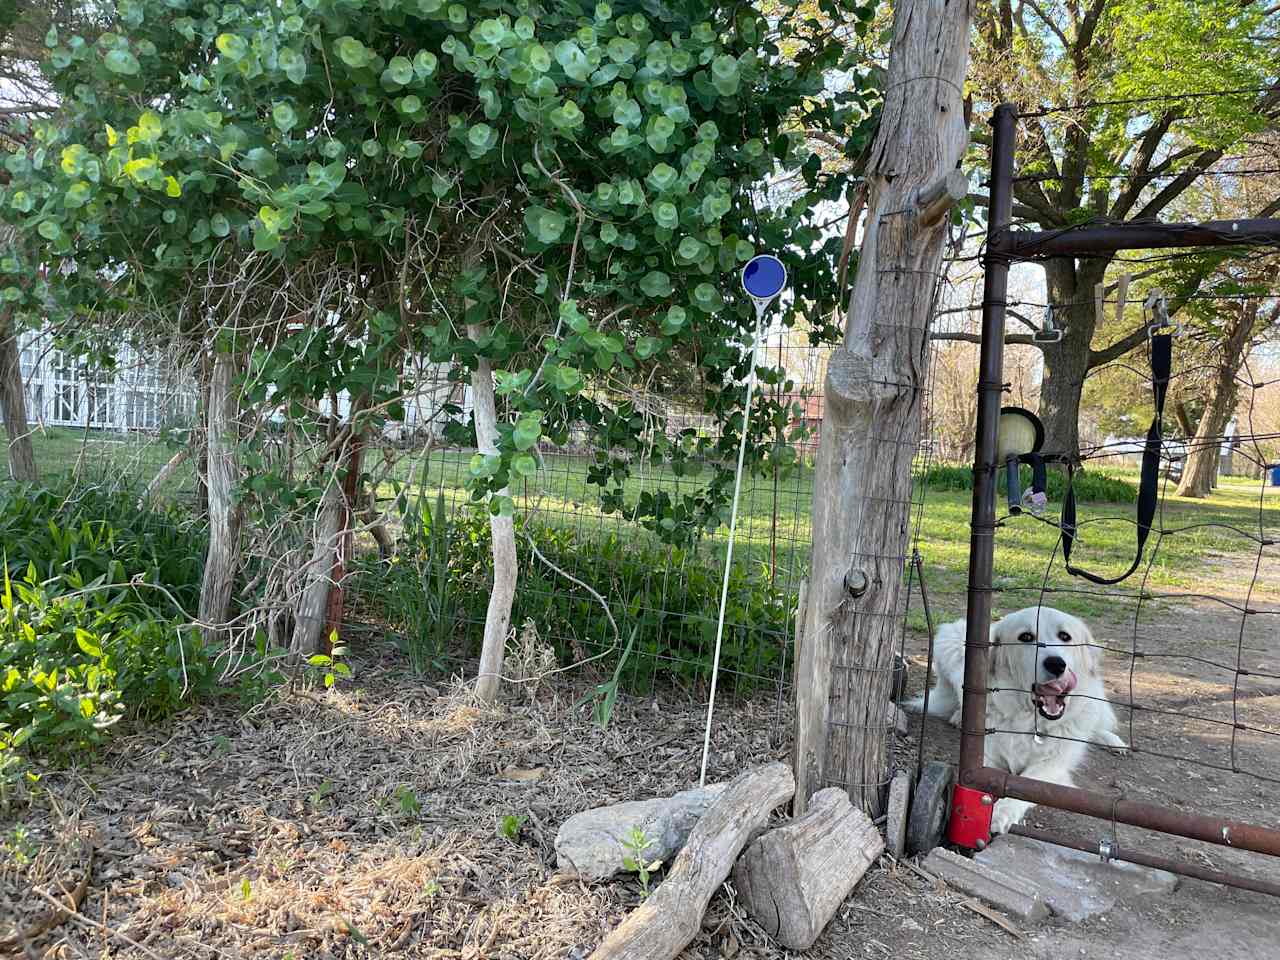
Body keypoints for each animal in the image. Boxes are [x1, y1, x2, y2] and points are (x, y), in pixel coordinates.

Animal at [906, 609, 1126, 834]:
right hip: (950, 642)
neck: (1030, 722)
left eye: (1065, 636)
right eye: (1026, 637)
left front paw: (1001, 812)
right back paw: (959, 716)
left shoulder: (1053, 765)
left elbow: (1027, 785)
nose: (1056, 664)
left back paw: (1115, 742)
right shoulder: (982, 760)